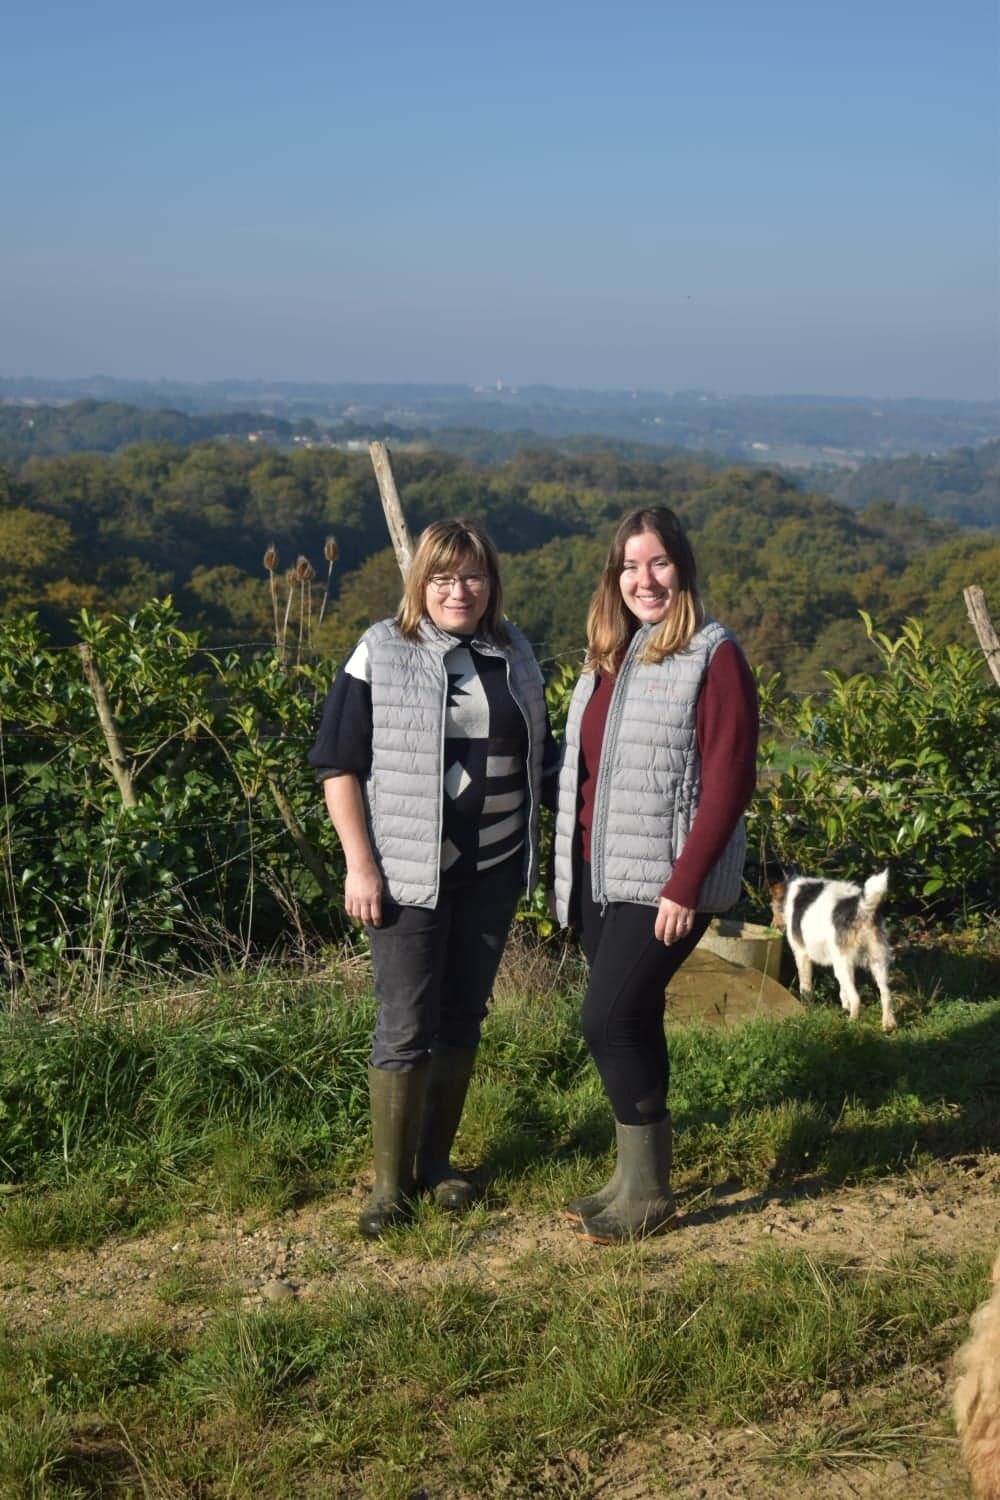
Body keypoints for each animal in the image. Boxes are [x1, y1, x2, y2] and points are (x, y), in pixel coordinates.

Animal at [767, 870, 899, 1032]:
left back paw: (851, 1023)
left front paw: (807, 1006)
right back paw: (888, 1024)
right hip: (876, 961)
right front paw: (845, 1006)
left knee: (857, 998)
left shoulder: (801, 953)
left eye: (772, 906)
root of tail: (861, 908)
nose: (772, 926)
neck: (790, 891)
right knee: (886, 994)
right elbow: (843, 991)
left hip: (842, 963)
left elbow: (805, 986)